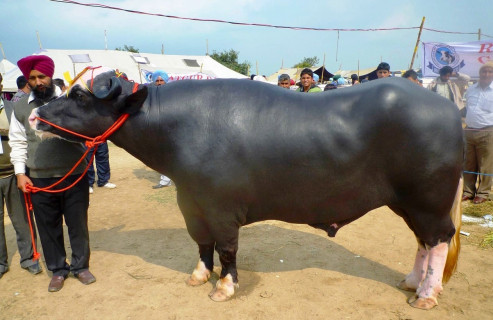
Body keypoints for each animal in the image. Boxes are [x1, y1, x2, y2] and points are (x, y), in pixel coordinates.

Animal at [29, 70, 462, 310]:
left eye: (80, 96)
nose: (35, 114)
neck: (177, 128)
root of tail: (446, 110)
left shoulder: (221, 208)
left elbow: (226, 248)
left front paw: (225, 286)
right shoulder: (191, 203)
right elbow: (202, 244)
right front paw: (199, 276)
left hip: (429, 201)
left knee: (439, 240)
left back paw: (426, 294)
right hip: (407, 203)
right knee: (423, 242)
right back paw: (413, 281)